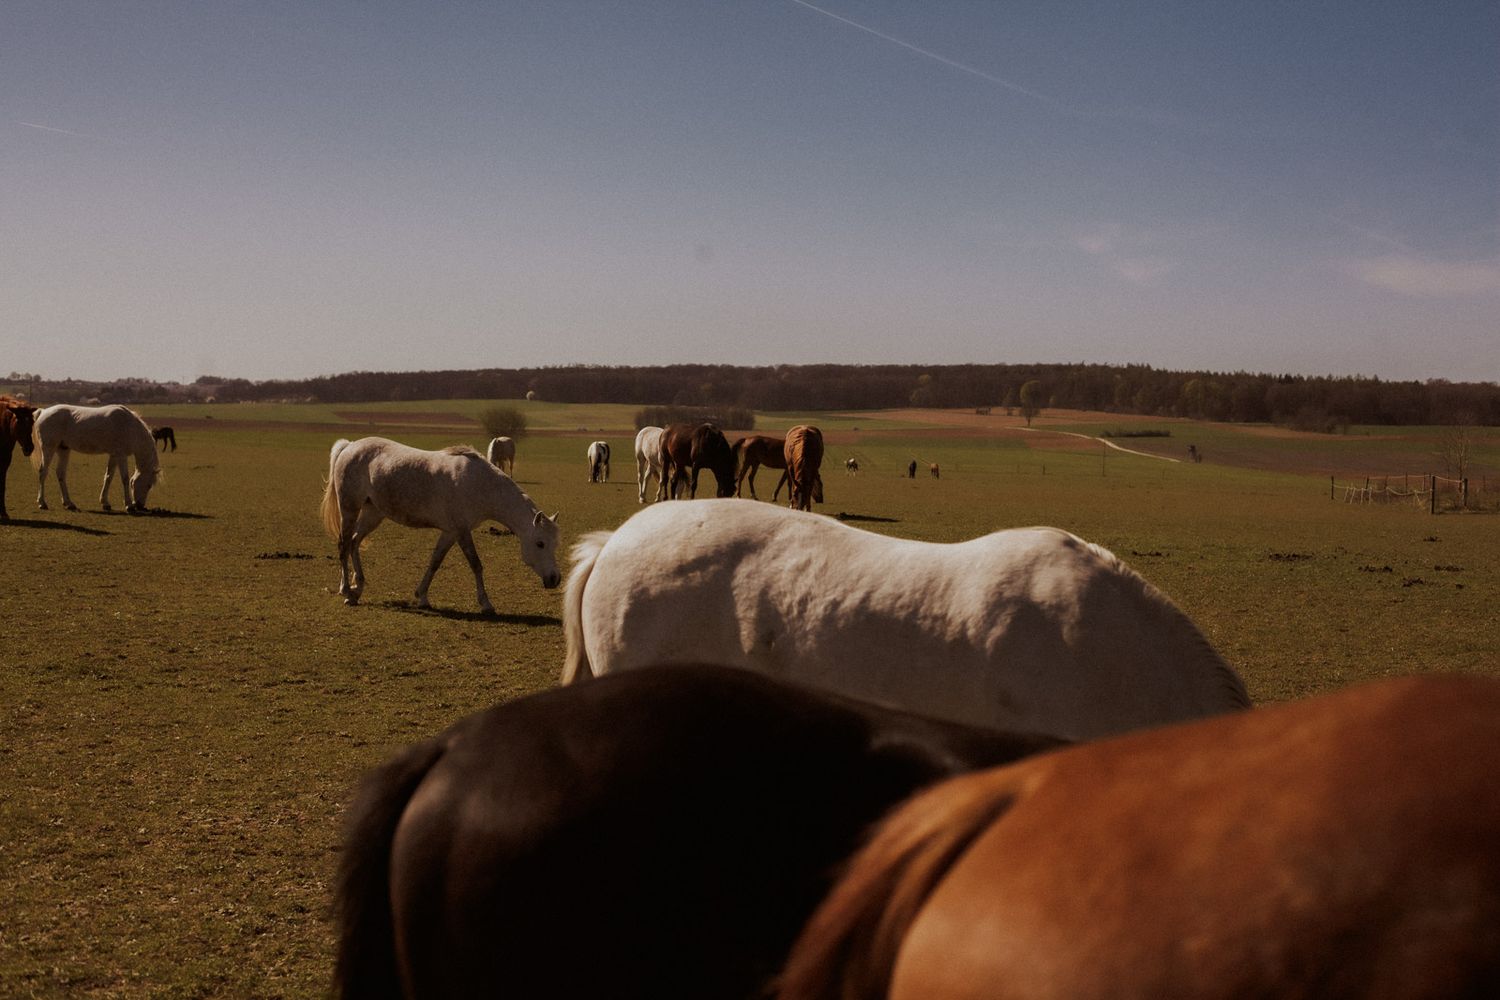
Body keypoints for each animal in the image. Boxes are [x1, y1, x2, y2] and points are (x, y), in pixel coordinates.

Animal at [320, 437, 560, 614]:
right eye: (540, 543)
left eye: (554, 544)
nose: (555, 579)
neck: (480, 484)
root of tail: (349, 446)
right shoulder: (462, 532)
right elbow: (476, 564)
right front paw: (486, 604)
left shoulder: (450, 532)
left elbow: (435, 562)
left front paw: (422, 597)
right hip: (349, 509)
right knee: (343, 545)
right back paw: (347, 591)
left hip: (373, 513)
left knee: (354, 542)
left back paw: (356, 587)